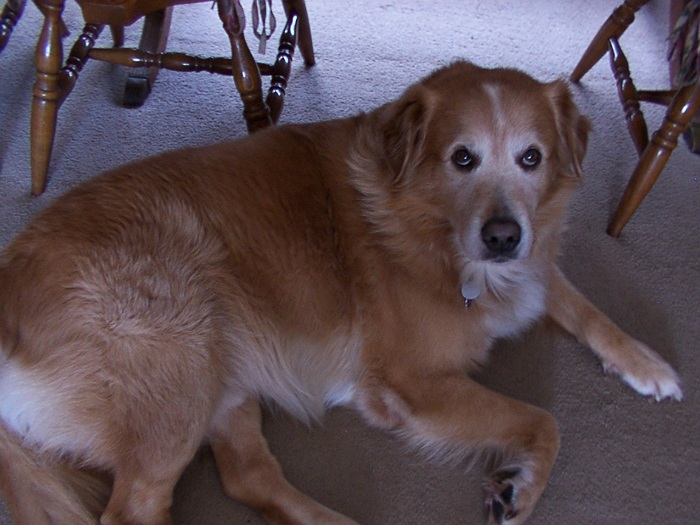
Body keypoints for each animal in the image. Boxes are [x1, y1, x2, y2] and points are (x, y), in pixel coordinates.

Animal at [0, 62, 680, 524]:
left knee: (248, 477)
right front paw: (524, 488)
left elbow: (583, 306)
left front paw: (647, 364)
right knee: (133, 509)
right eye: (462, 158)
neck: (428, 229)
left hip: (222, 368)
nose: (503, 237)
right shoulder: (410, 384)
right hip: (179, 361)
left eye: (532, 158)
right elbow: (545, 420)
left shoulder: (534, 267)